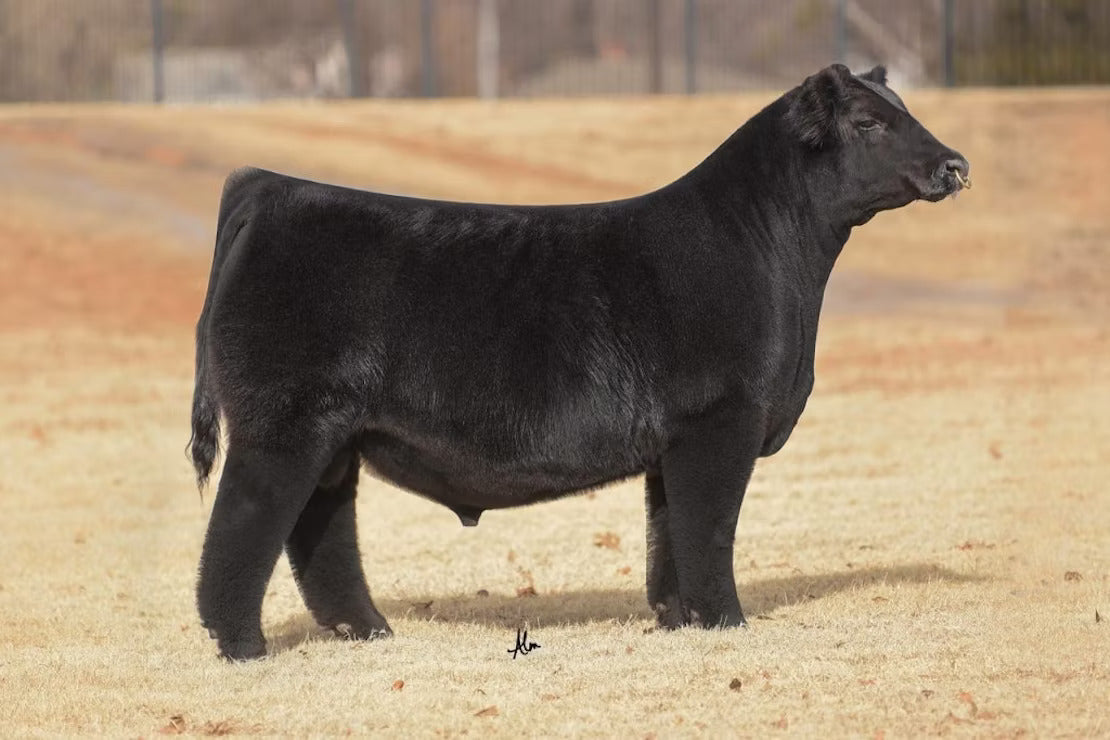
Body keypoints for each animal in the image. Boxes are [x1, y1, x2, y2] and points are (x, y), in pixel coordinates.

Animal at [189, 64, 969, 660]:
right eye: (868, 123)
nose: (954, 164)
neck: (773, 256)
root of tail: (269, 187)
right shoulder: (722, 420)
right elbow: (711, 527)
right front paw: (726, 621)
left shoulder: (673, 442)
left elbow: (669, 535)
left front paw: (679, 620)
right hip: (282, 425)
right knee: (245, 524)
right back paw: (244, 647)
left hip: (333, 438)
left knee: (319, 532)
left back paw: (369, 631)